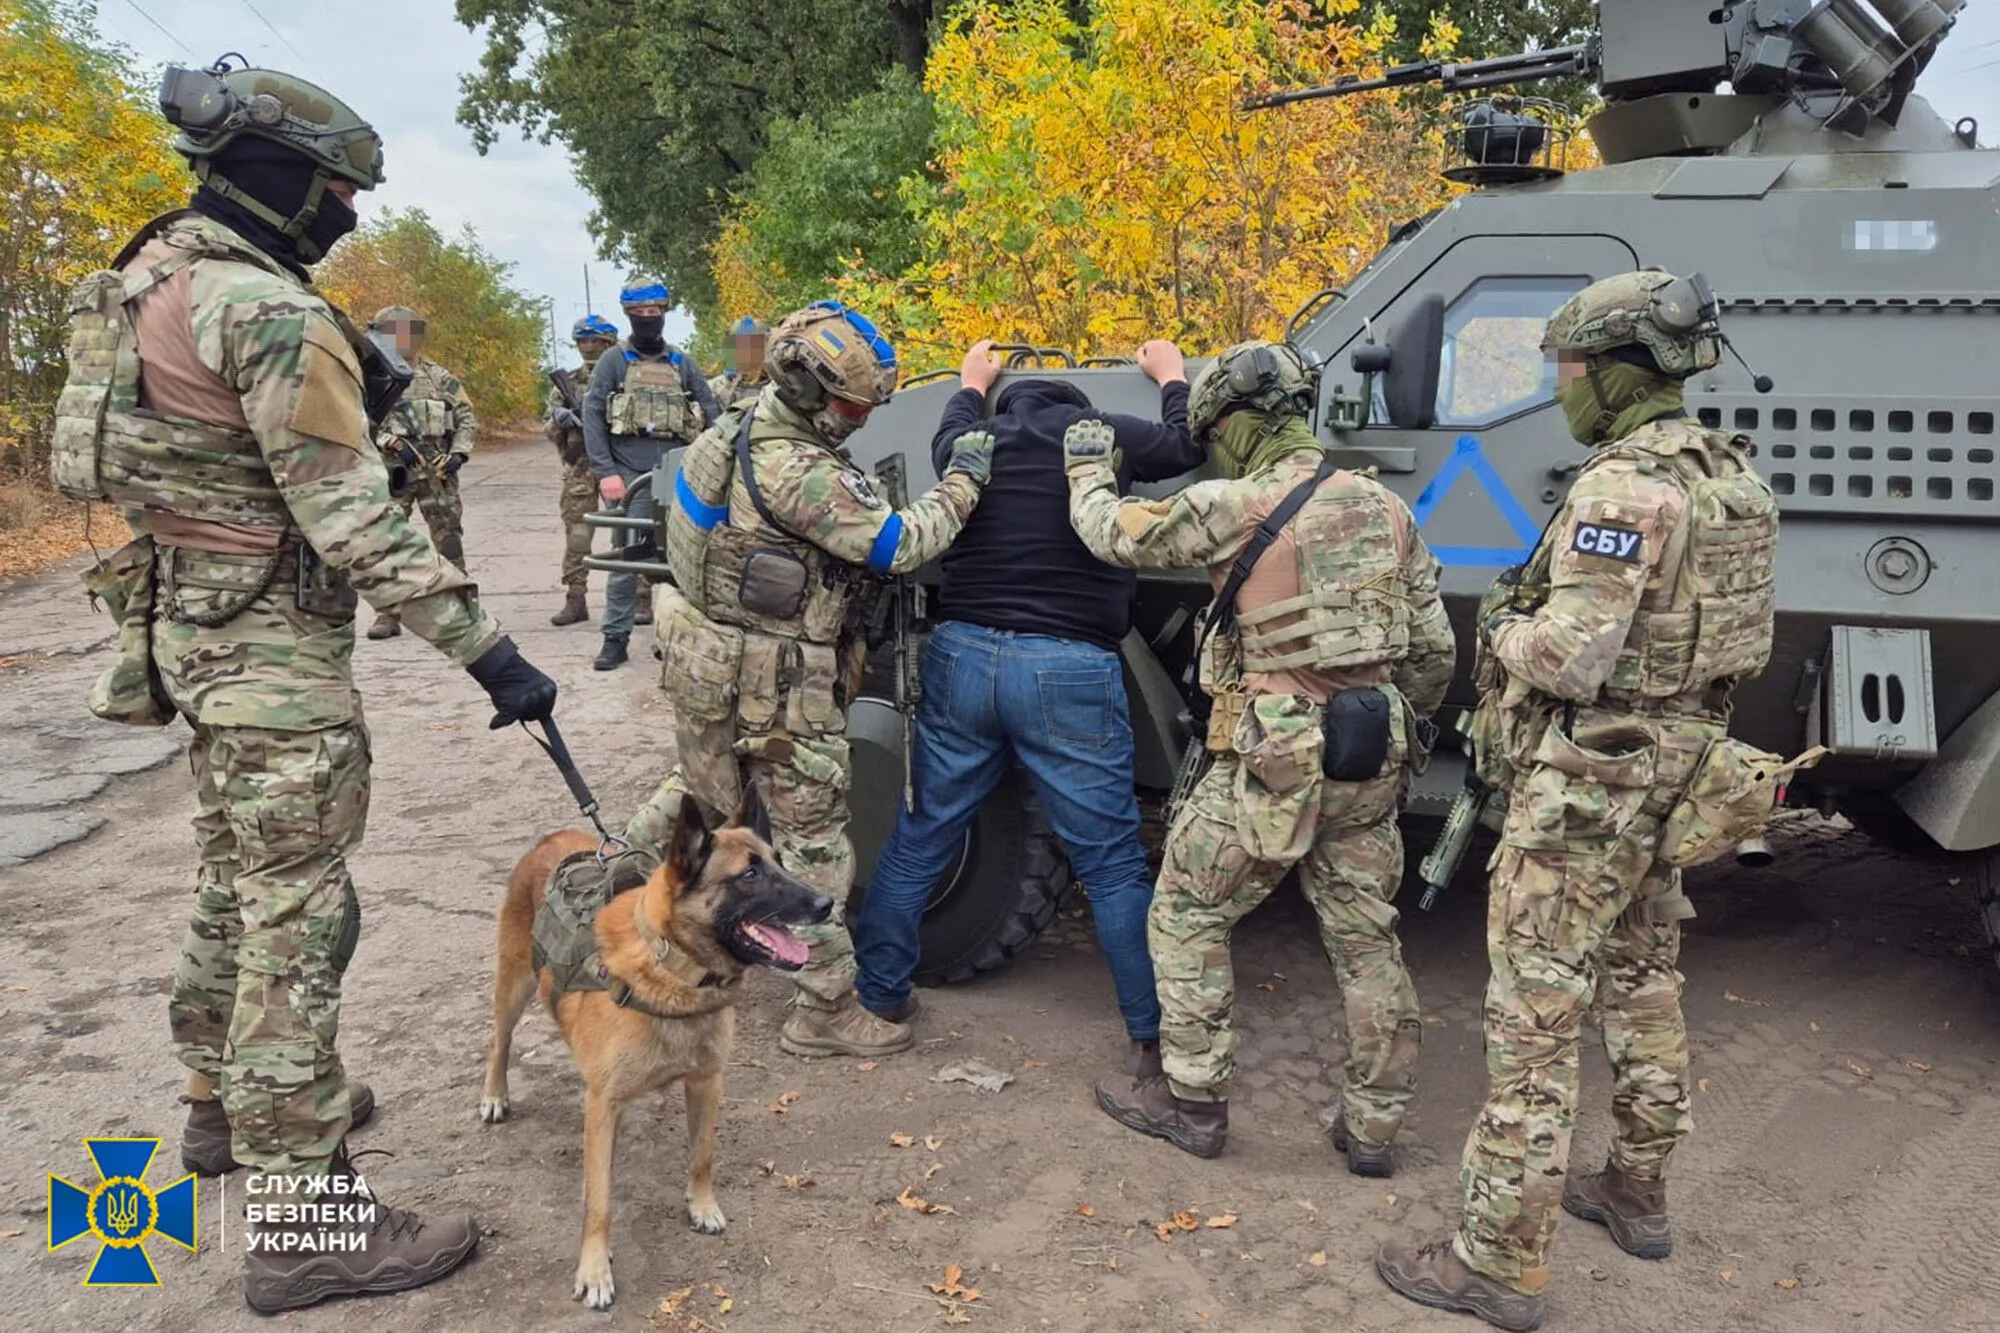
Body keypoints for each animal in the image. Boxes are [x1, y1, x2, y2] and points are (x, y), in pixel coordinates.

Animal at [476, 784, 828, 1304]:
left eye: (779, 862)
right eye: (749, 874)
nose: (827, 903)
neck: (675, 971)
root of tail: (554, 838)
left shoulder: (706, 1084)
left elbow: (702, 1155)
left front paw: (702, 1206)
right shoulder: (602, 1102)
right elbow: (599, 1201)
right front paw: (594, 1271)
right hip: (514, 985)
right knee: (499, 1041)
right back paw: (494, 1095)